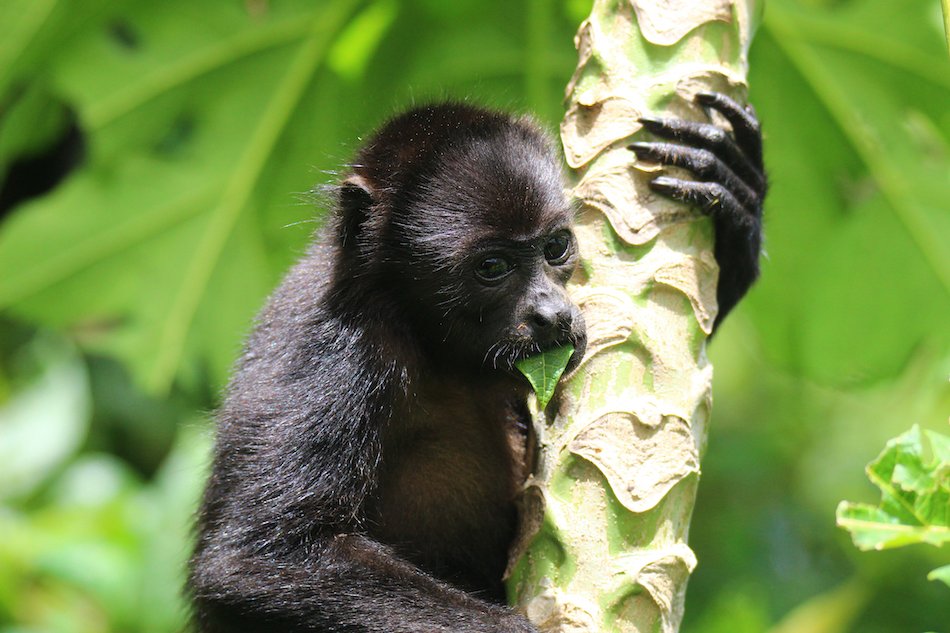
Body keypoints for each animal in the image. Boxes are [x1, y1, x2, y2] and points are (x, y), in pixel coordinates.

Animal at [188, 93, 765, 632]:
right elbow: (254, 560)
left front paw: (736, 191)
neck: (426, 338)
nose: (552, 313)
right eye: (491, 267)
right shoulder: (338, 348)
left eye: (556, 247)